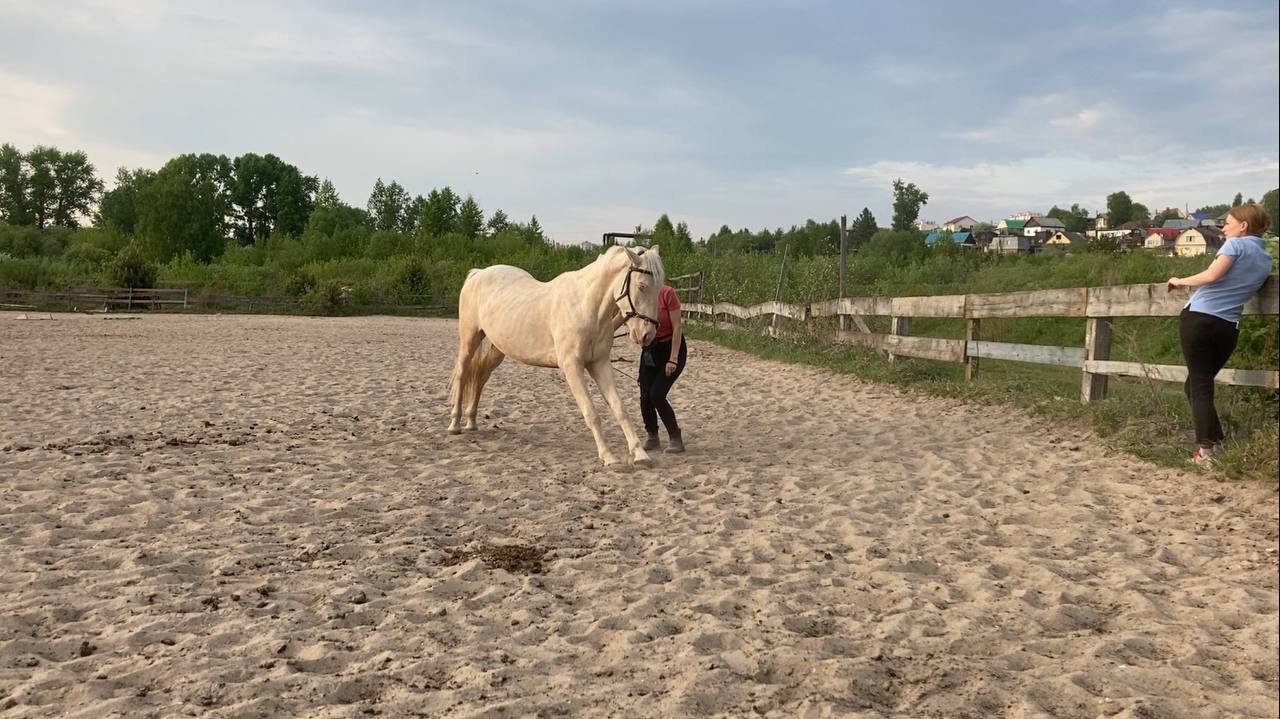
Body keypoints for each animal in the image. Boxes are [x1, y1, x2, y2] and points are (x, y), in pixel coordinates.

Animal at [450, 241, 665, 465]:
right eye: (641, 286)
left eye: (659, 288)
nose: (647, 334)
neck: (586, 308)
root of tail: (478, 273)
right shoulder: (572, 367)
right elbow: (591, 413)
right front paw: (608, 456)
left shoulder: (600, 363)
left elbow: (620, 408)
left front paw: (640, 454)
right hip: (470, 339)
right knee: (462, 375)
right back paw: (455, 424)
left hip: (497, 349)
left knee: (481, 378)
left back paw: (471, 421)